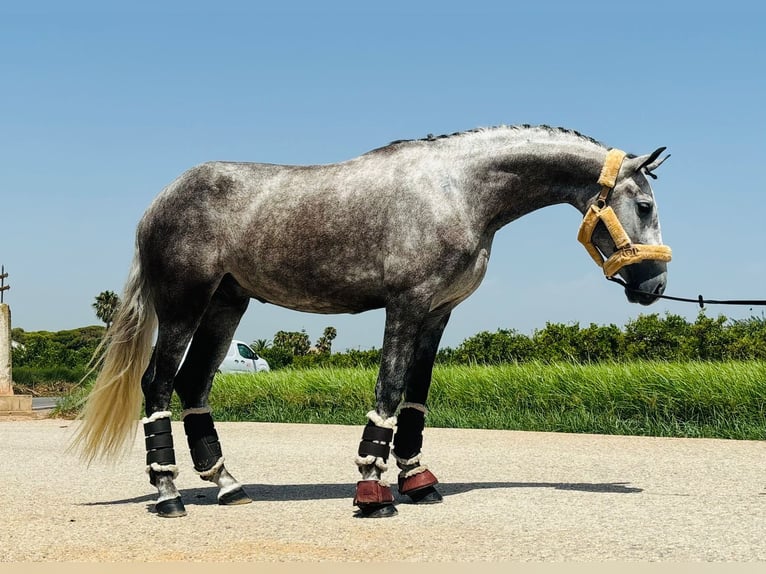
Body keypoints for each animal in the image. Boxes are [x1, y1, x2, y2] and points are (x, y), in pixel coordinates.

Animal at [72, 126, 672, 520]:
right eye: (644, 205)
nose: (655, 286)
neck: (456, 190)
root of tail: (159, 201)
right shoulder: (404, 306)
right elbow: (388, 389)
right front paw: (372, 490)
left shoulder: (437, 313)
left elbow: (415, 396)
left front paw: (417, 480)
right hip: (184, 304)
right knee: (158, 384)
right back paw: (168, 495)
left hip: (226, 304)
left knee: (194, 385)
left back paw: (227, 485)